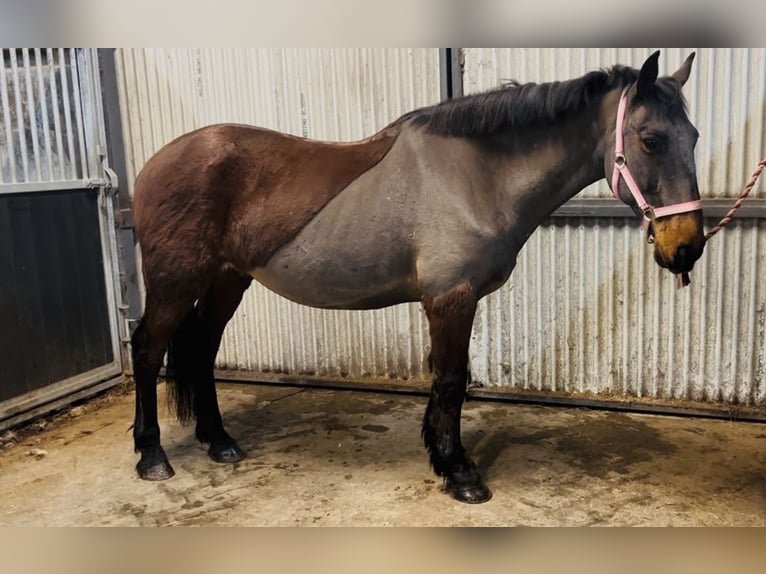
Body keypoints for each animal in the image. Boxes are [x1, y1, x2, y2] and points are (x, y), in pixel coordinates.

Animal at [130, 50, 704, 504]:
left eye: (694, 136)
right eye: (651, 140)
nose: (686, 247)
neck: (475, 177)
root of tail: (156, 162)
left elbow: (448, 380)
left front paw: (441, 457)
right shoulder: (451, 298)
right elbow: (450, 381)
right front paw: (460, 473)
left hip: (227, 280)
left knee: (202, 350)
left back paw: (219, 441)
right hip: (174, 284)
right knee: (148, 350)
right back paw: (152, 455)